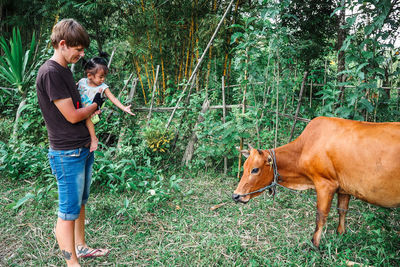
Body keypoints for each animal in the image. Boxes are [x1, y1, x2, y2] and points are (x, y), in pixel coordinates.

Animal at [231, 117, 400, 249]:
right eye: (244, 167)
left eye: (255, 169)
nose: (236, 196)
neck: (304, 148)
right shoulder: (344, 188)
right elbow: (342, 210)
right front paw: (341, 233)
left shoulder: (325, 184)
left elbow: (321, 216)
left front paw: (314, 244)